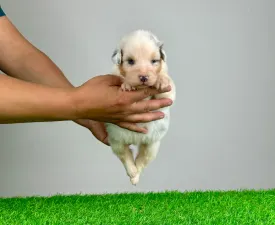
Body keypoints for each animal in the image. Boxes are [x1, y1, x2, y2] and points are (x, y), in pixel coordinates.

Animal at [105, 29, 177, 185]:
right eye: (130, 61)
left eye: (154, 61)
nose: (144, 77)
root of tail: (135, 139)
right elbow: (121, 79)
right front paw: (127, 84)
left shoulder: (169, 94)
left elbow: (167, 90)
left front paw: (161, 80)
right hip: (116, 140)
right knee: (125, 154)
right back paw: (132, 172)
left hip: (152, 144)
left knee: (142, 159)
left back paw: (136, 175)